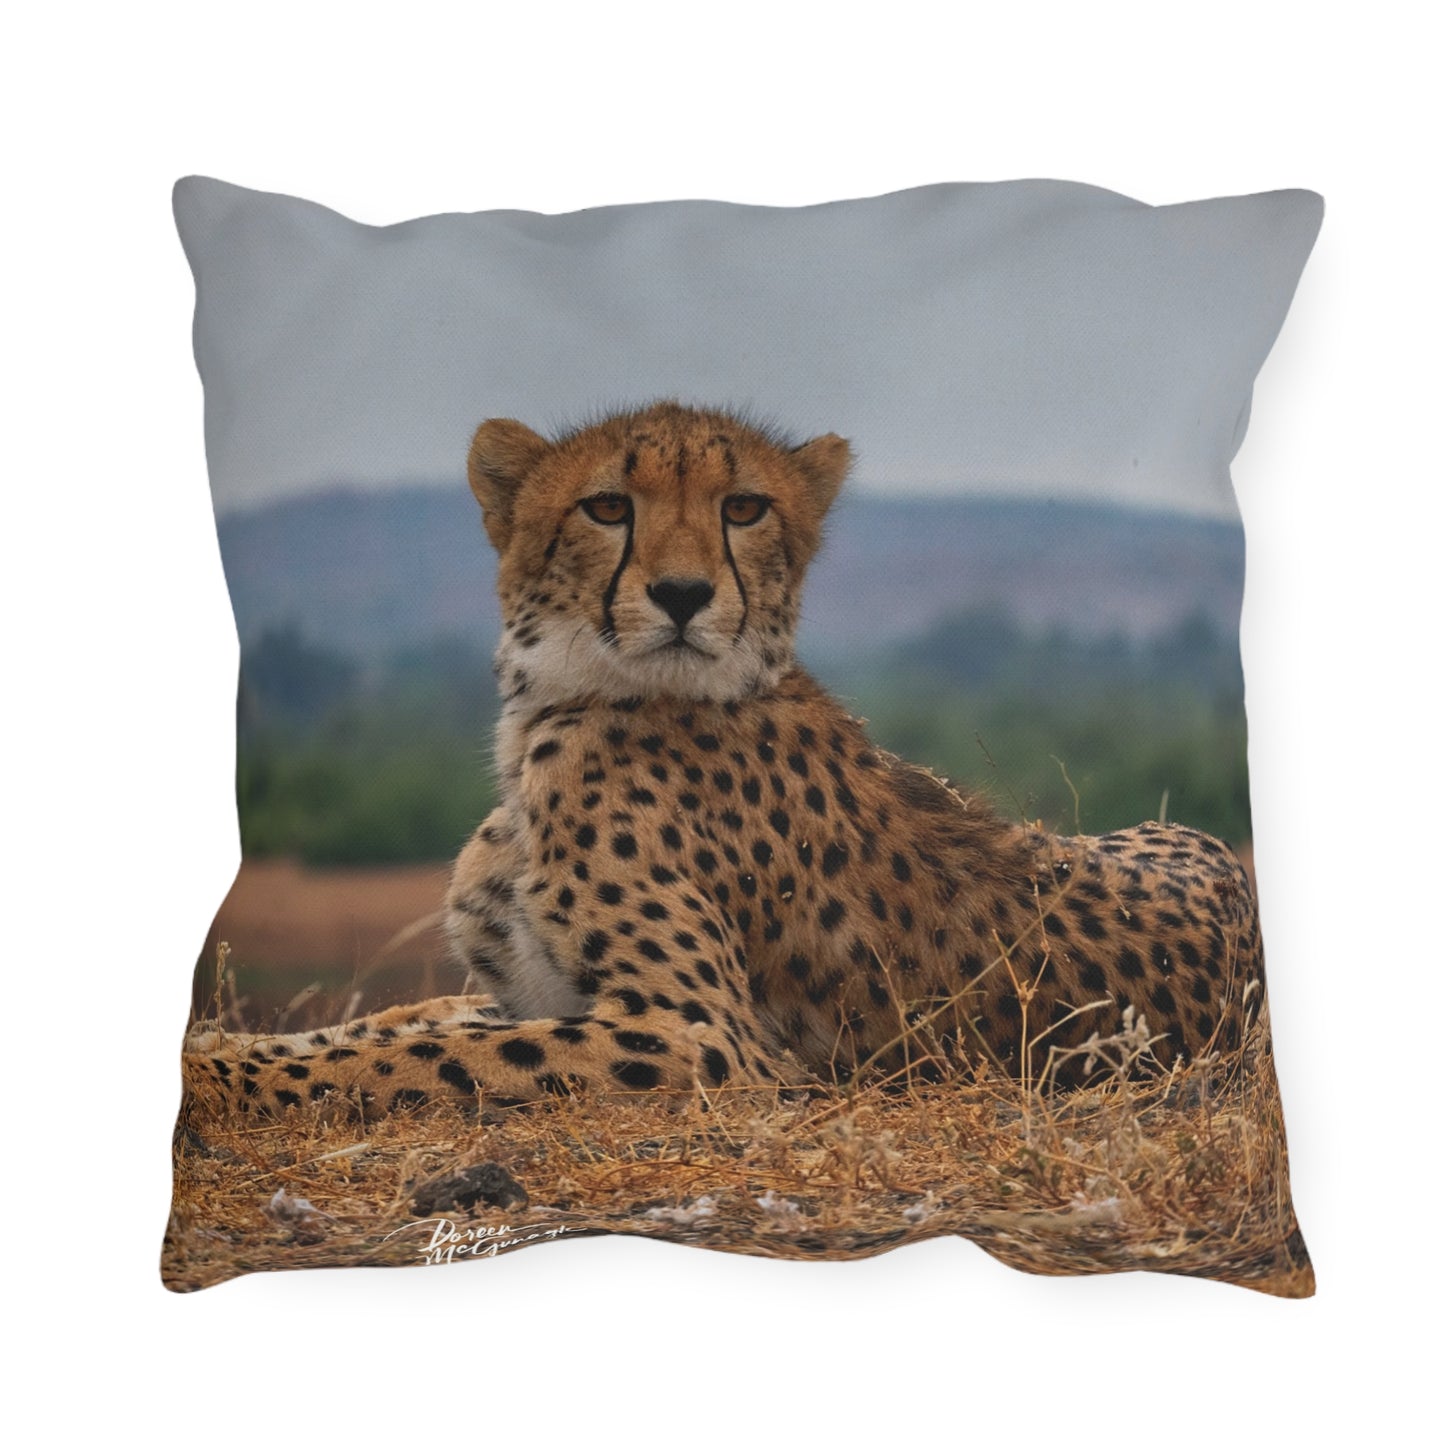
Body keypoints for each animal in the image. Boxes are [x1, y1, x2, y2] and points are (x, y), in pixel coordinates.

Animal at [183, 401, 1266, 1119]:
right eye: (606, 506)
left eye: (743, 507)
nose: (680, 592)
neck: (559, 707)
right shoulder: (528, 993)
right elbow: (392, 1027)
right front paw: (218, 1044)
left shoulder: (699, 1035)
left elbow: (410, 1057)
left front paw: (222, 1073)